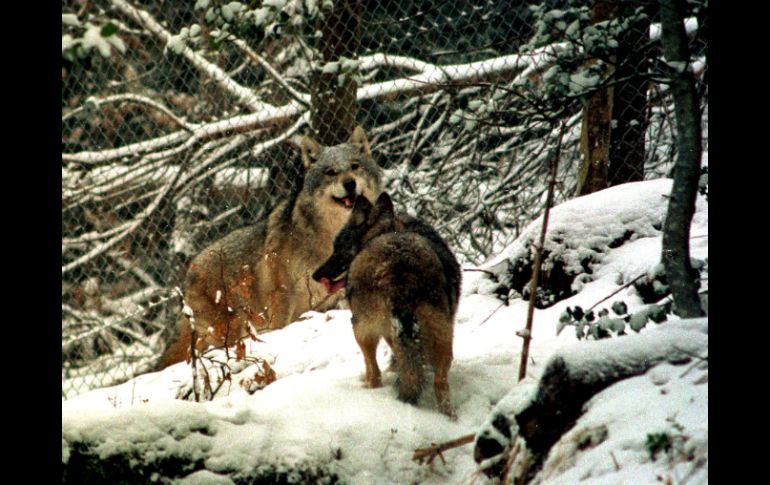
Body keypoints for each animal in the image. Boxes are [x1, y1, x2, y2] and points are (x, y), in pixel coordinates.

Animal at [158, 126, 382, 368]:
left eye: (355, 166)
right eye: (331, 172)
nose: (349, 183)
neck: (330, 238)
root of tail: (190, 270)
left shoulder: (324, 302)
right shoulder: (282, 294)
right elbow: (281, 327)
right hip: (230, 328)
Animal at [310, 191, 460, 414]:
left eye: (337, 248)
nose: (315, 275)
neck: (388, 229)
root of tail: (398, 265)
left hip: (361, 330)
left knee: (374, 373)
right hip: (443, 334)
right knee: (440, 384)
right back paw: (448, 416)